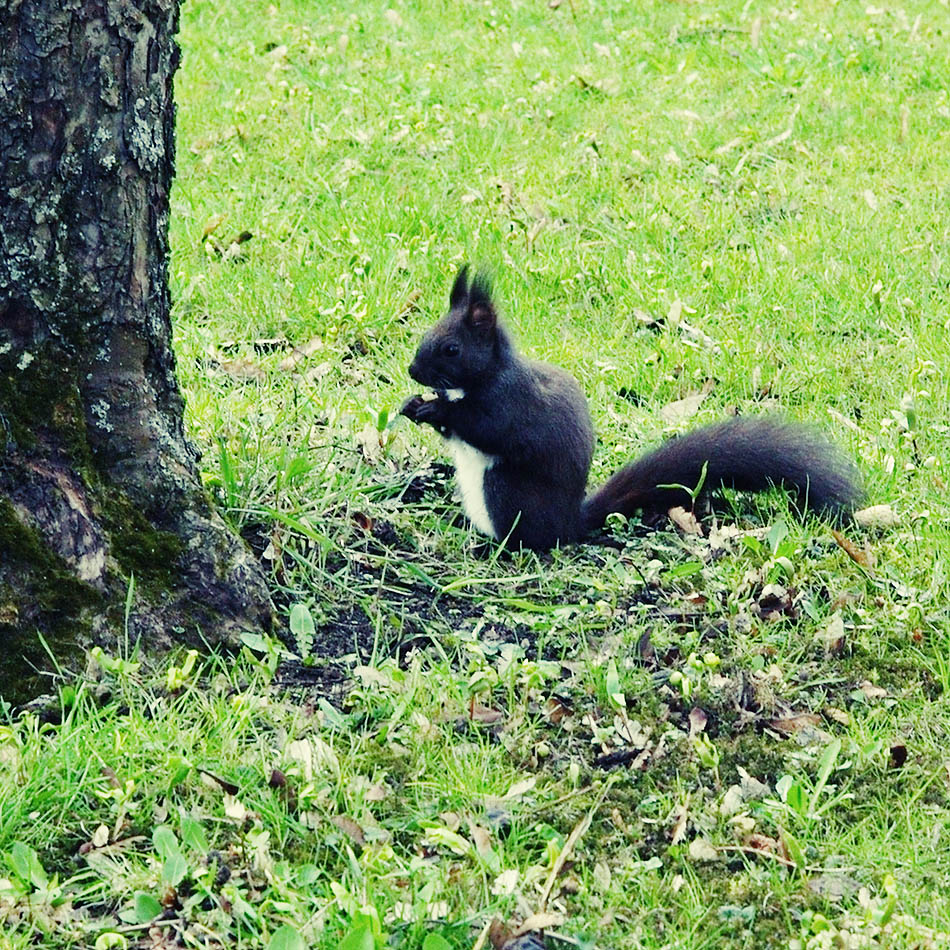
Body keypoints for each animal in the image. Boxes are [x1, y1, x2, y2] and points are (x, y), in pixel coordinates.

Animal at [402, 268, 864, 552]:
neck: (478, 379)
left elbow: (486, 427)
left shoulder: (511, 402)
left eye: (451, 348)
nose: (412, 371)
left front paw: (435, 411)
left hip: (502, 491)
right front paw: (416, 405)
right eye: (427, 333)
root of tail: (569, 522)